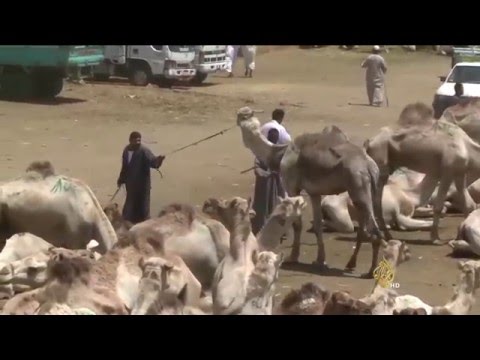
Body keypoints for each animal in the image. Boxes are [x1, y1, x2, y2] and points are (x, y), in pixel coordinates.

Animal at [236, 105, 386, 278]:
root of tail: (369, 166)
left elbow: (297, 223)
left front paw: (293, 257)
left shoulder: (291, 185)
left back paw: (370, 271)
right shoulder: (314, 193)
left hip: (358, 186)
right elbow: (317, 225)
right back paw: (352, 264)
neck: (280, 154)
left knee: (373, 229)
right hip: (370, 189)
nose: (240, 115)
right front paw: (320, 260)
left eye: (242, 116)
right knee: (367, 226)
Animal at [364, 102, 480, 246]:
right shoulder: (447, 172)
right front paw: (435, 238)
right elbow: (438, 206)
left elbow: (469, 205)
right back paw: (380, 236)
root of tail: (369, 143)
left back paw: (385, 235)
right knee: (374, 201)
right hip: (380, 165)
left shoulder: (459, 173)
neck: (467, 148)